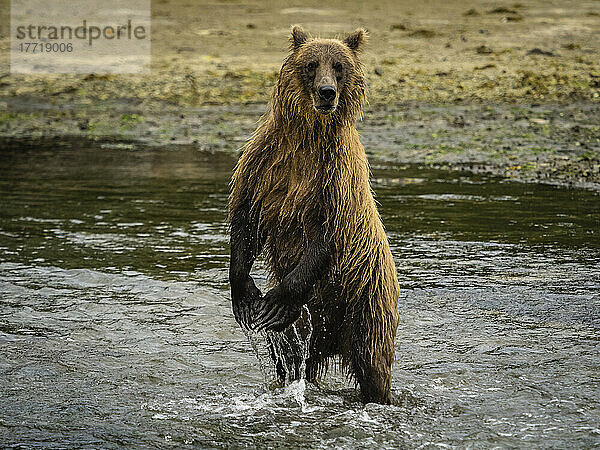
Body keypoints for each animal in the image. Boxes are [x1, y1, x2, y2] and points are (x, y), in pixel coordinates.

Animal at [229, 24, 398, 404]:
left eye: (339, 66)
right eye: (311, 65)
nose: (327, 92)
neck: (308, 134)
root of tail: (333, 341)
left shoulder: (337, 175)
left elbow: (329, 231)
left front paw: (276, 302)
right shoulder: (265, 162)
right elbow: (246, 219)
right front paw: (245, 296)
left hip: (366, 303)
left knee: (372, 364)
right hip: (310, 326)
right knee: (291, 358)